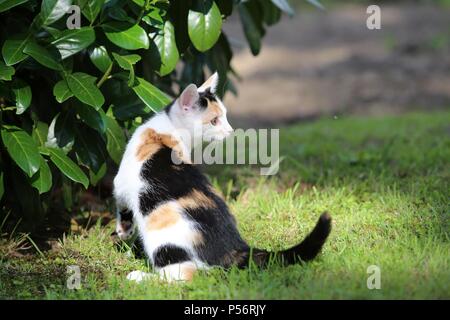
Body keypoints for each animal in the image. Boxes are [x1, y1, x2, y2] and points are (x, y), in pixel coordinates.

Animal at [112, 73, 330, 282]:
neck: (169, 127)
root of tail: (234, 248)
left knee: (185, 277)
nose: (230, 131)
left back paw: (140, 277)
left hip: (164, 240)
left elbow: (122, 204)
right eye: (215, 120)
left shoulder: (121, 182)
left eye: (224, 116)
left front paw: (124, 232)